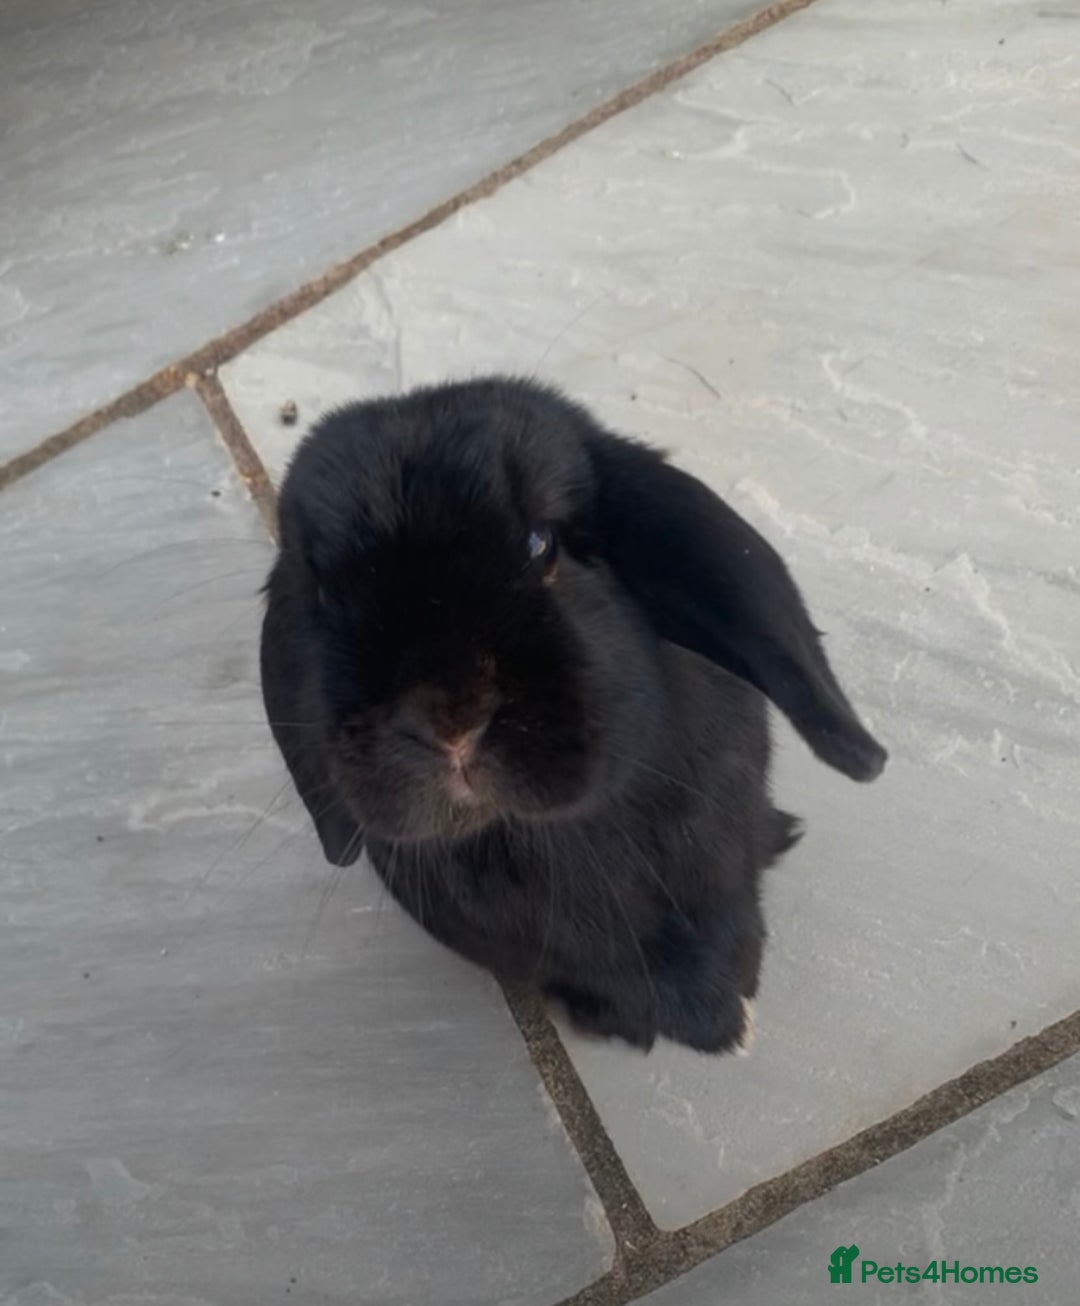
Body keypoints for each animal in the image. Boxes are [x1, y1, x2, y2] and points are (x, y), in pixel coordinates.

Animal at [261, 376, 886, 1054]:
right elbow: (620, 966)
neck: (580, 831)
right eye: (326, 594)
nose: (449, 721)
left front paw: (734, 1000)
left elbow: (728, 908)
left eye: (542, 546)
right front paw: (710, 1021)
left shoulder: (723, 849)